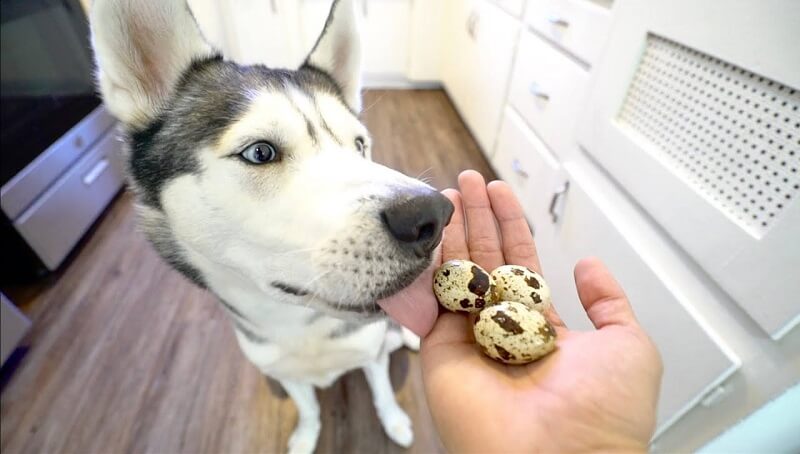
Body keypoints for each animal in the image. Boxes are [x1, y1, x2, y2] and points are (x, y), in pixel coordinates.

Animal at [88, 0, 454, 452]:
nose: (431, 216)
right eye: (260, 152)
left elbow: (383, 390)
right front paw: (306, 436)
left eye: (359, 146)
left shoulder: (370, 353)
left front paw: (395, 422)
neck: (296, 324)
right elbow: (309, 409)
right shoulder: (284, 372)